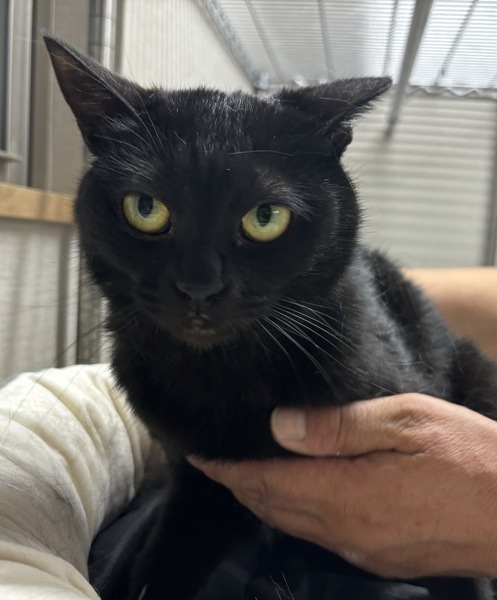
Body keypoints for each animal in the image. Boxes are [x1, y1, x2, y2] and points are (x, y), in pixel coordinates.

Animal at [44, 35, 497, 600]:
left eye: (265, 218)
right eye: (145, 209)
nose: (199, 286)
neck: (221, 377)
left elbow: (459, 569)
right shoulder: (199, 482)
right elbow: (160, 562)